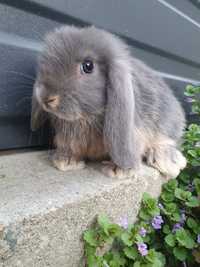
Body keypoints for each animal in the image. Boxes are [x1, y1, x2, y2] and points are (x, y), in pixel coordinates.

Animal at [30, 25, 187, 180]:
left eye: (88, 66)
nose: (45, 97)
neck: (87, 117)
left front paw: (119, 170)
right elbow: (70, 146)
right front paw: (66, 161)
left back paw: (167, 161)